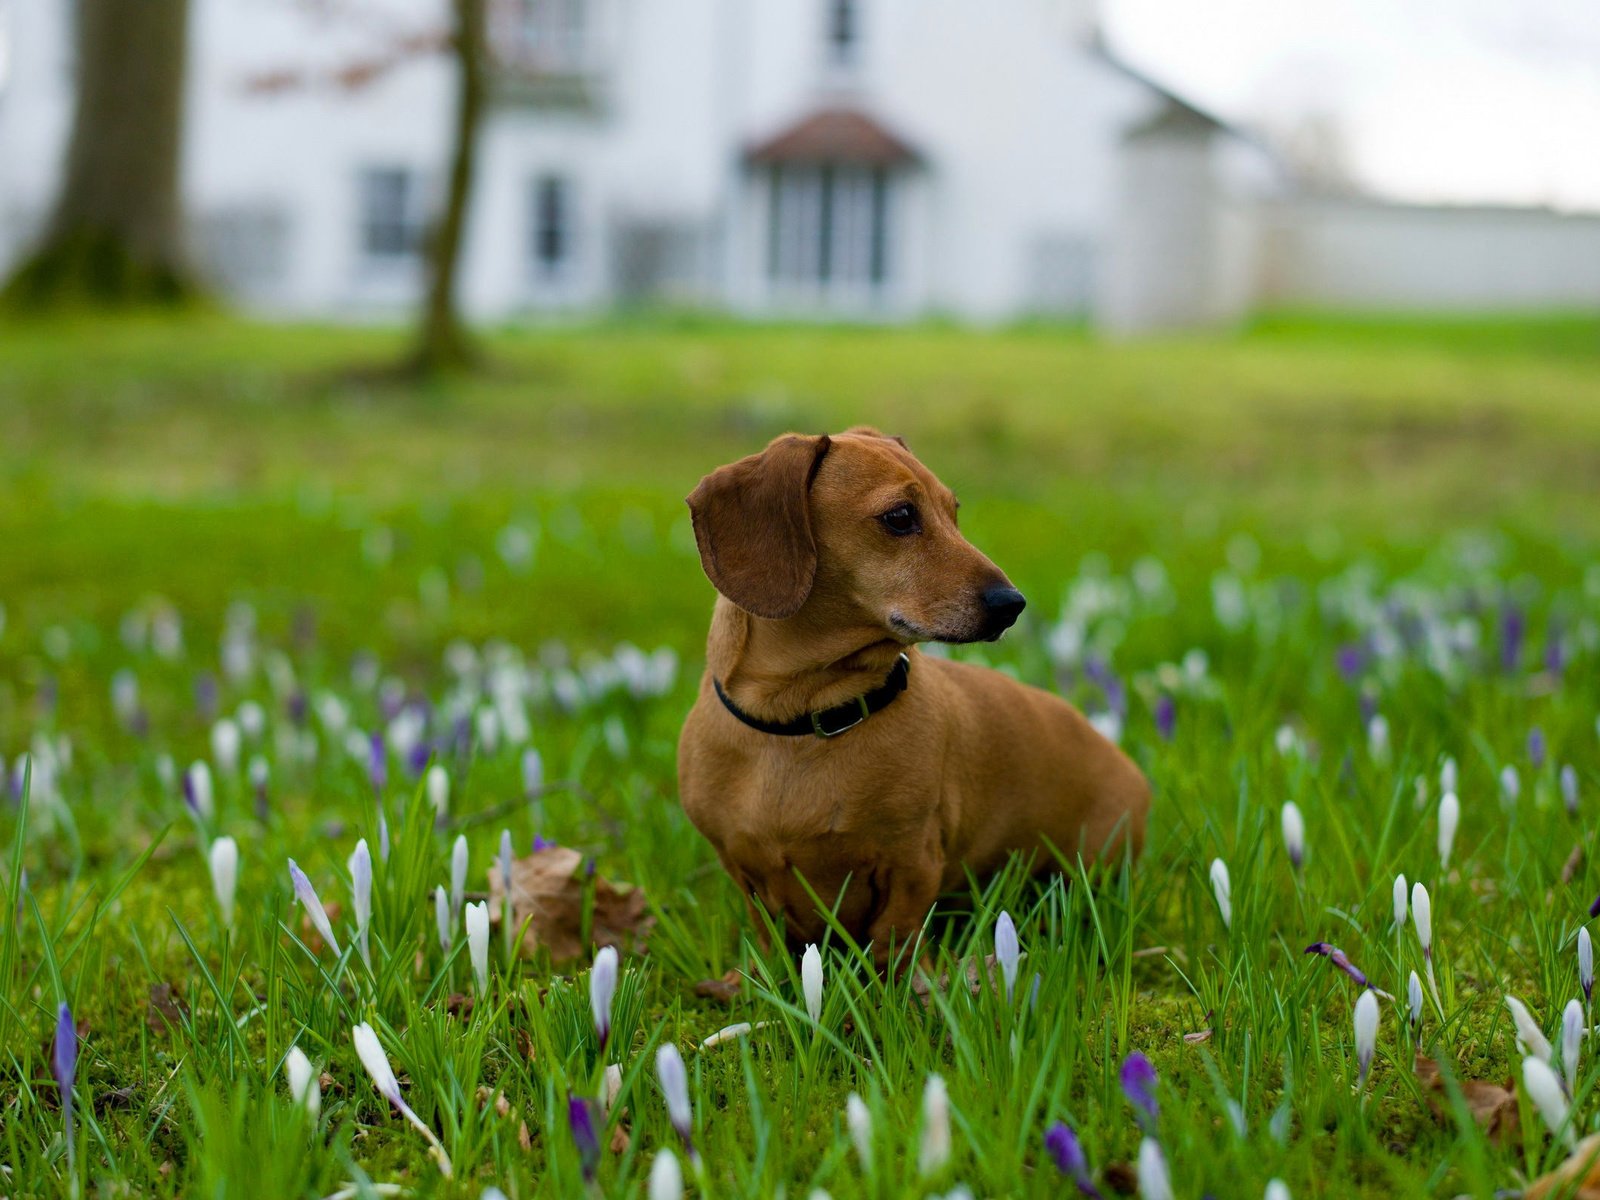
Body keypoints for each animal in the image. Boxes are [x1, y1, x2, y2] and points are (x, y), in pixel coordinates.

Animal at [675, 428, 1152, 966]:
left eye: (953, 510)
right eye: (901, 516)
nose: (1012, 605)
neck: (804, 722)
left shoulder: (910, 865)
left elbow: (894, 942)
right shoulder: (745, 872)